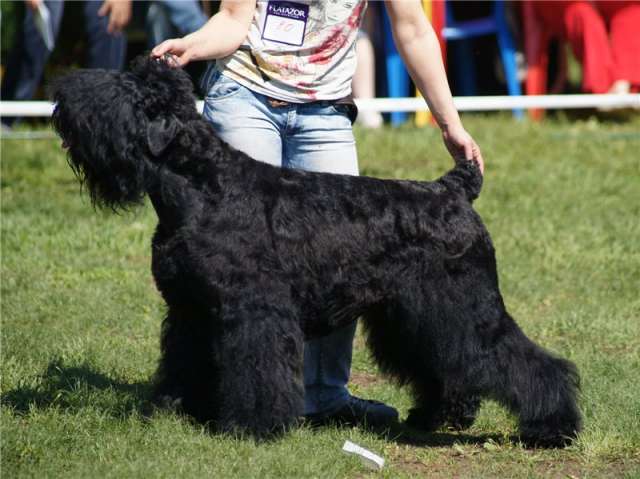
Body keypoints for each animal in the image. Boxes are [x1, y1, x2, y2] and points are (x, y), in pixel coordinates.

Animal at [53, 58, 580, 448]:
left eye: (123, 91)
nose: (62, 97)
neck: (204, 185)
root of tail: (454, 189)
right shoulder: (190, 310)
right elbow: (181, 362)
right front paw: (172, 410)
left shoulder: (254, 312)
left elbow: (257, 370)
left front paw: (251, 427)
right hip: (416, 313)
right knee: (450, 362)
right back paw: (438, 414)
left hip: (465, 306)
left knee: (528, 362)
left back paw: (553, 427)